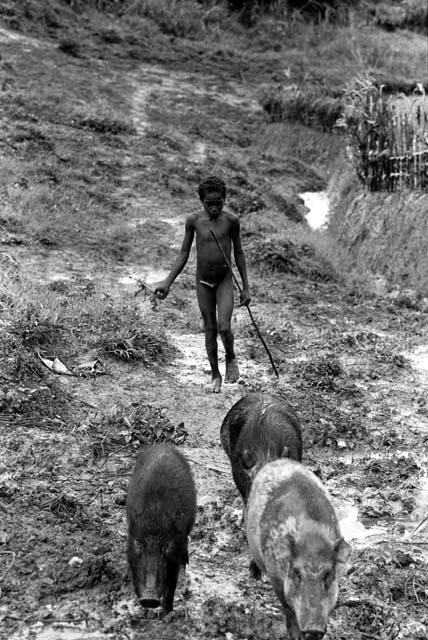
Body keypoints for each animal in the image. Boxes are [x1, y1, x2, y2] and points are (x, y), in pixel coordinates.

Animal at [126, 442, 195, 612]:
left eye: (165, 546)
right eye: (139, 544)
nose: (149, 599)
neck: (154, 517)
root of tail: (163, 445)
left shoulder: (175, 551)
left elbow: (172, 584)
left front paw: (166, 612)